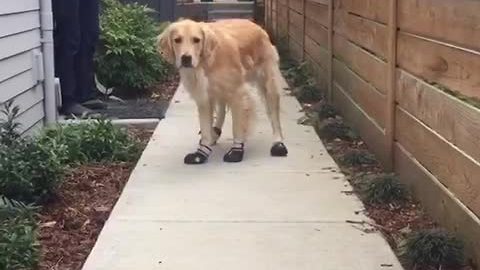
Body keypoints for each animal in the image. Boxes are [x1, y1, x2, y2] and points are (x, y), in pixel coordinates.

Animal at [157, 18, 288, 165]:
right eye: (177, 40)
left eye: (196, 40)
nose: (186, 58)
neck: (207, 60)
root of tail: (256, 25)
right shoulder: (204, 97)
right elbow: (205, 128)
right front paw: (201, 153)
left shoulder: (237, 93)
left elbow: (237, 126)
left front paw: (236, 151)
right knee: (221, 110)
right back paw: (215, 133)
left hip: (268, 83)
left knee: (274, 115)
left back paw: (278, 143)